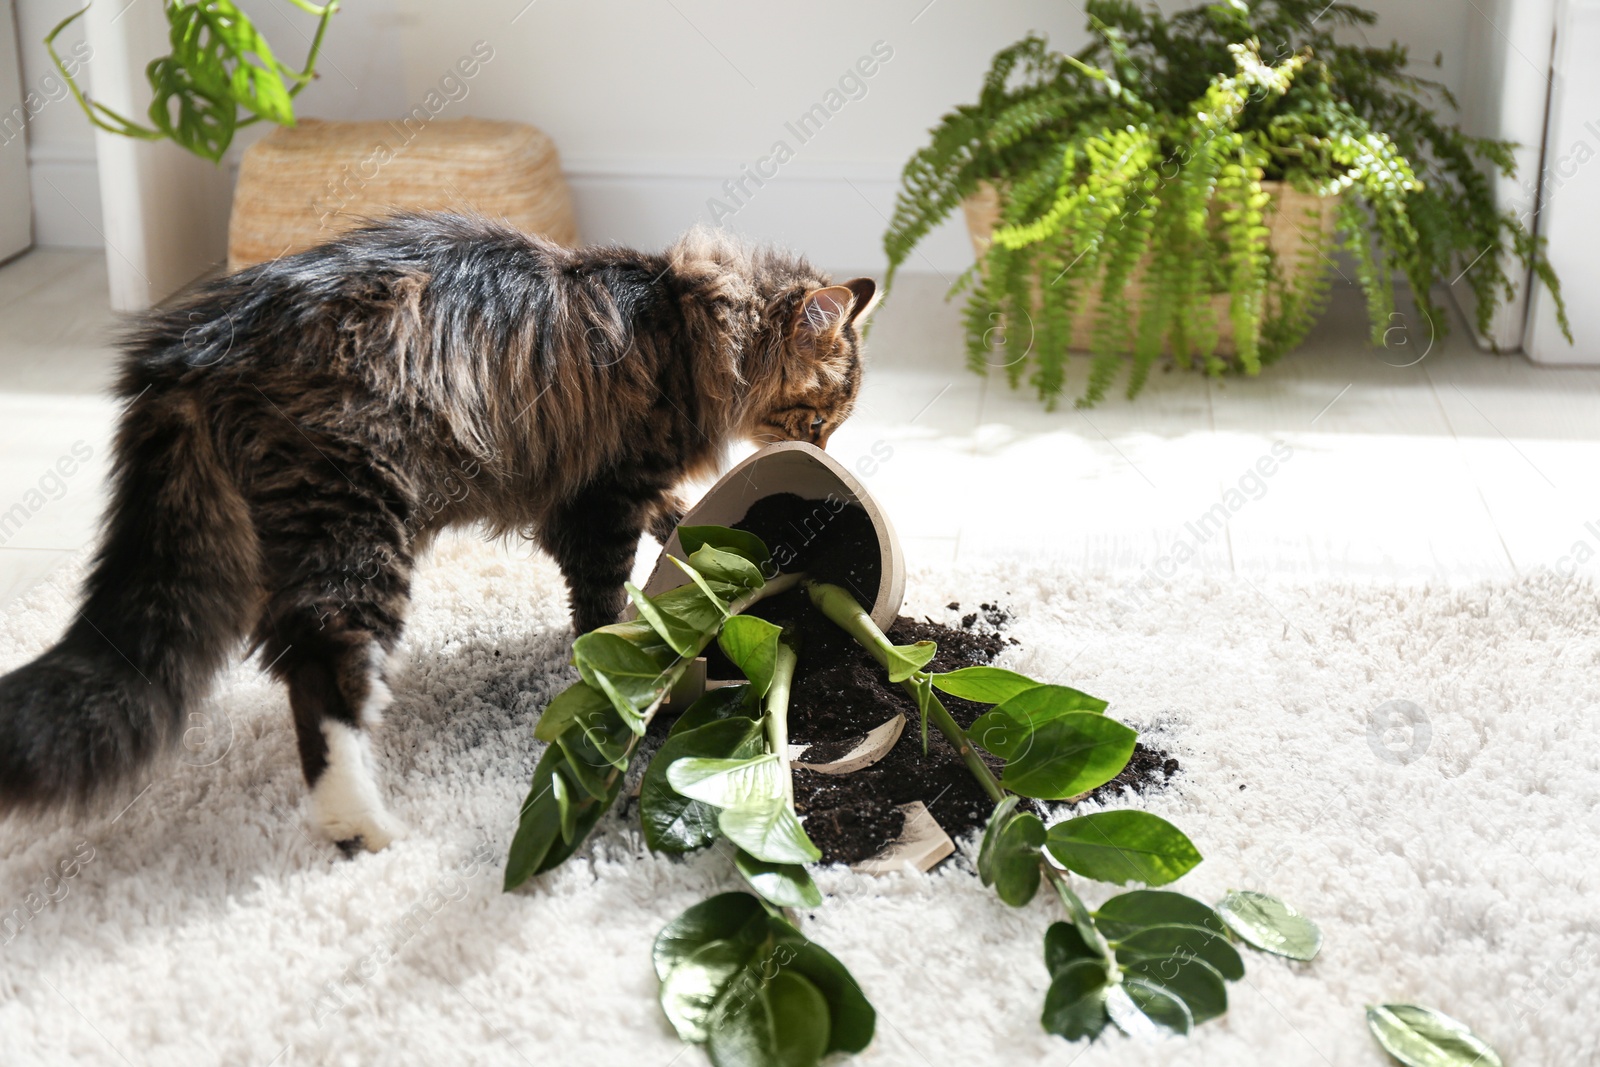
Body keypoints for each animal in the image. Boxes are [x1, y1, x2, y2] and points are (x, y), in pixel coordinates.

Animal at [0, 214, 876, 851]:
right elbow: (603, 602)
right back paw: (361, 823)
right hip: (355, 517)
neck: (694, 317)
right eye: (821, 418)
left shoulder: (621, 493)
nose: (827, 452)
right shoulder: (601, 498)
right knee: (321, 667)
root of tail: (197, 340)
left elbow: (682, 526)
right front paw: (621, 672)